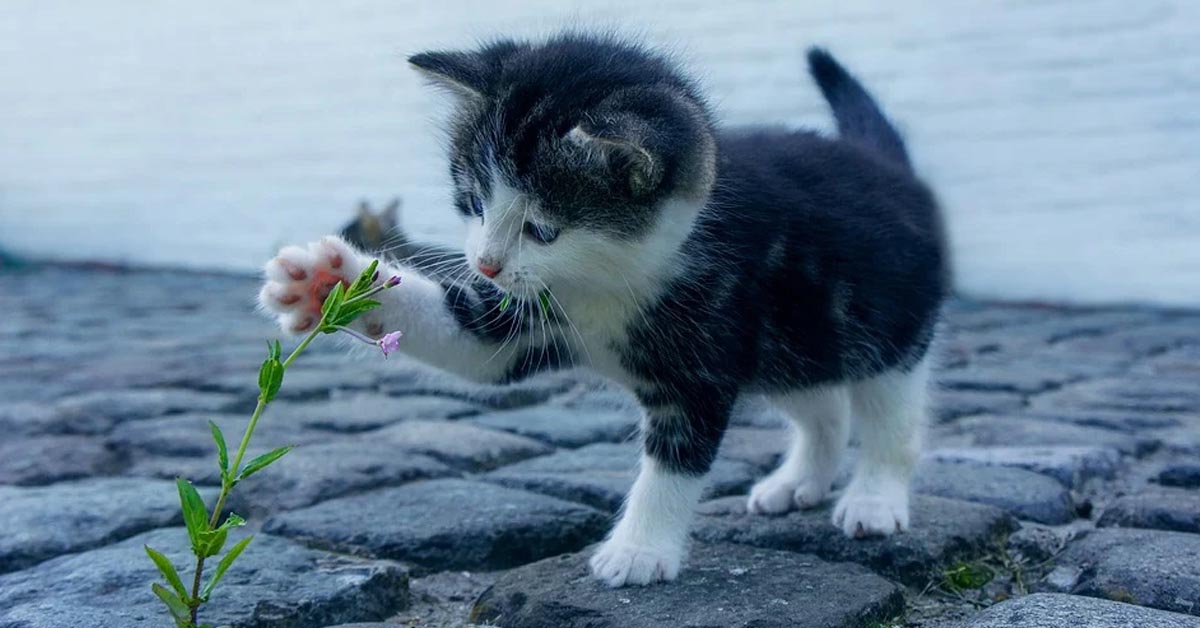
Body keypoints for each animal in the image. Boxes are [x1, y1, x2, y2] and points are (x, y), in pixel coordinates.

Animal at [260, 31, 945, 588]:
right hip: (792, 342)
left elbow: (675, 461)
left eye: (542, 229)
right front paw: (328, 281)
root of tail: (889, 166)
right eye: (474, 201)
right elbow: (472, 342)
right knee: (822, 404)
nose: (485, 263)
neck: (608, 279)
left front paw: (639, 551)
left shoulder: (704, 354)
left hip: (886, 327)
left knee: (889, 416)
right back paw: (799, 481)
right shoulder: (526, 317)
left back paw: (874, 499)